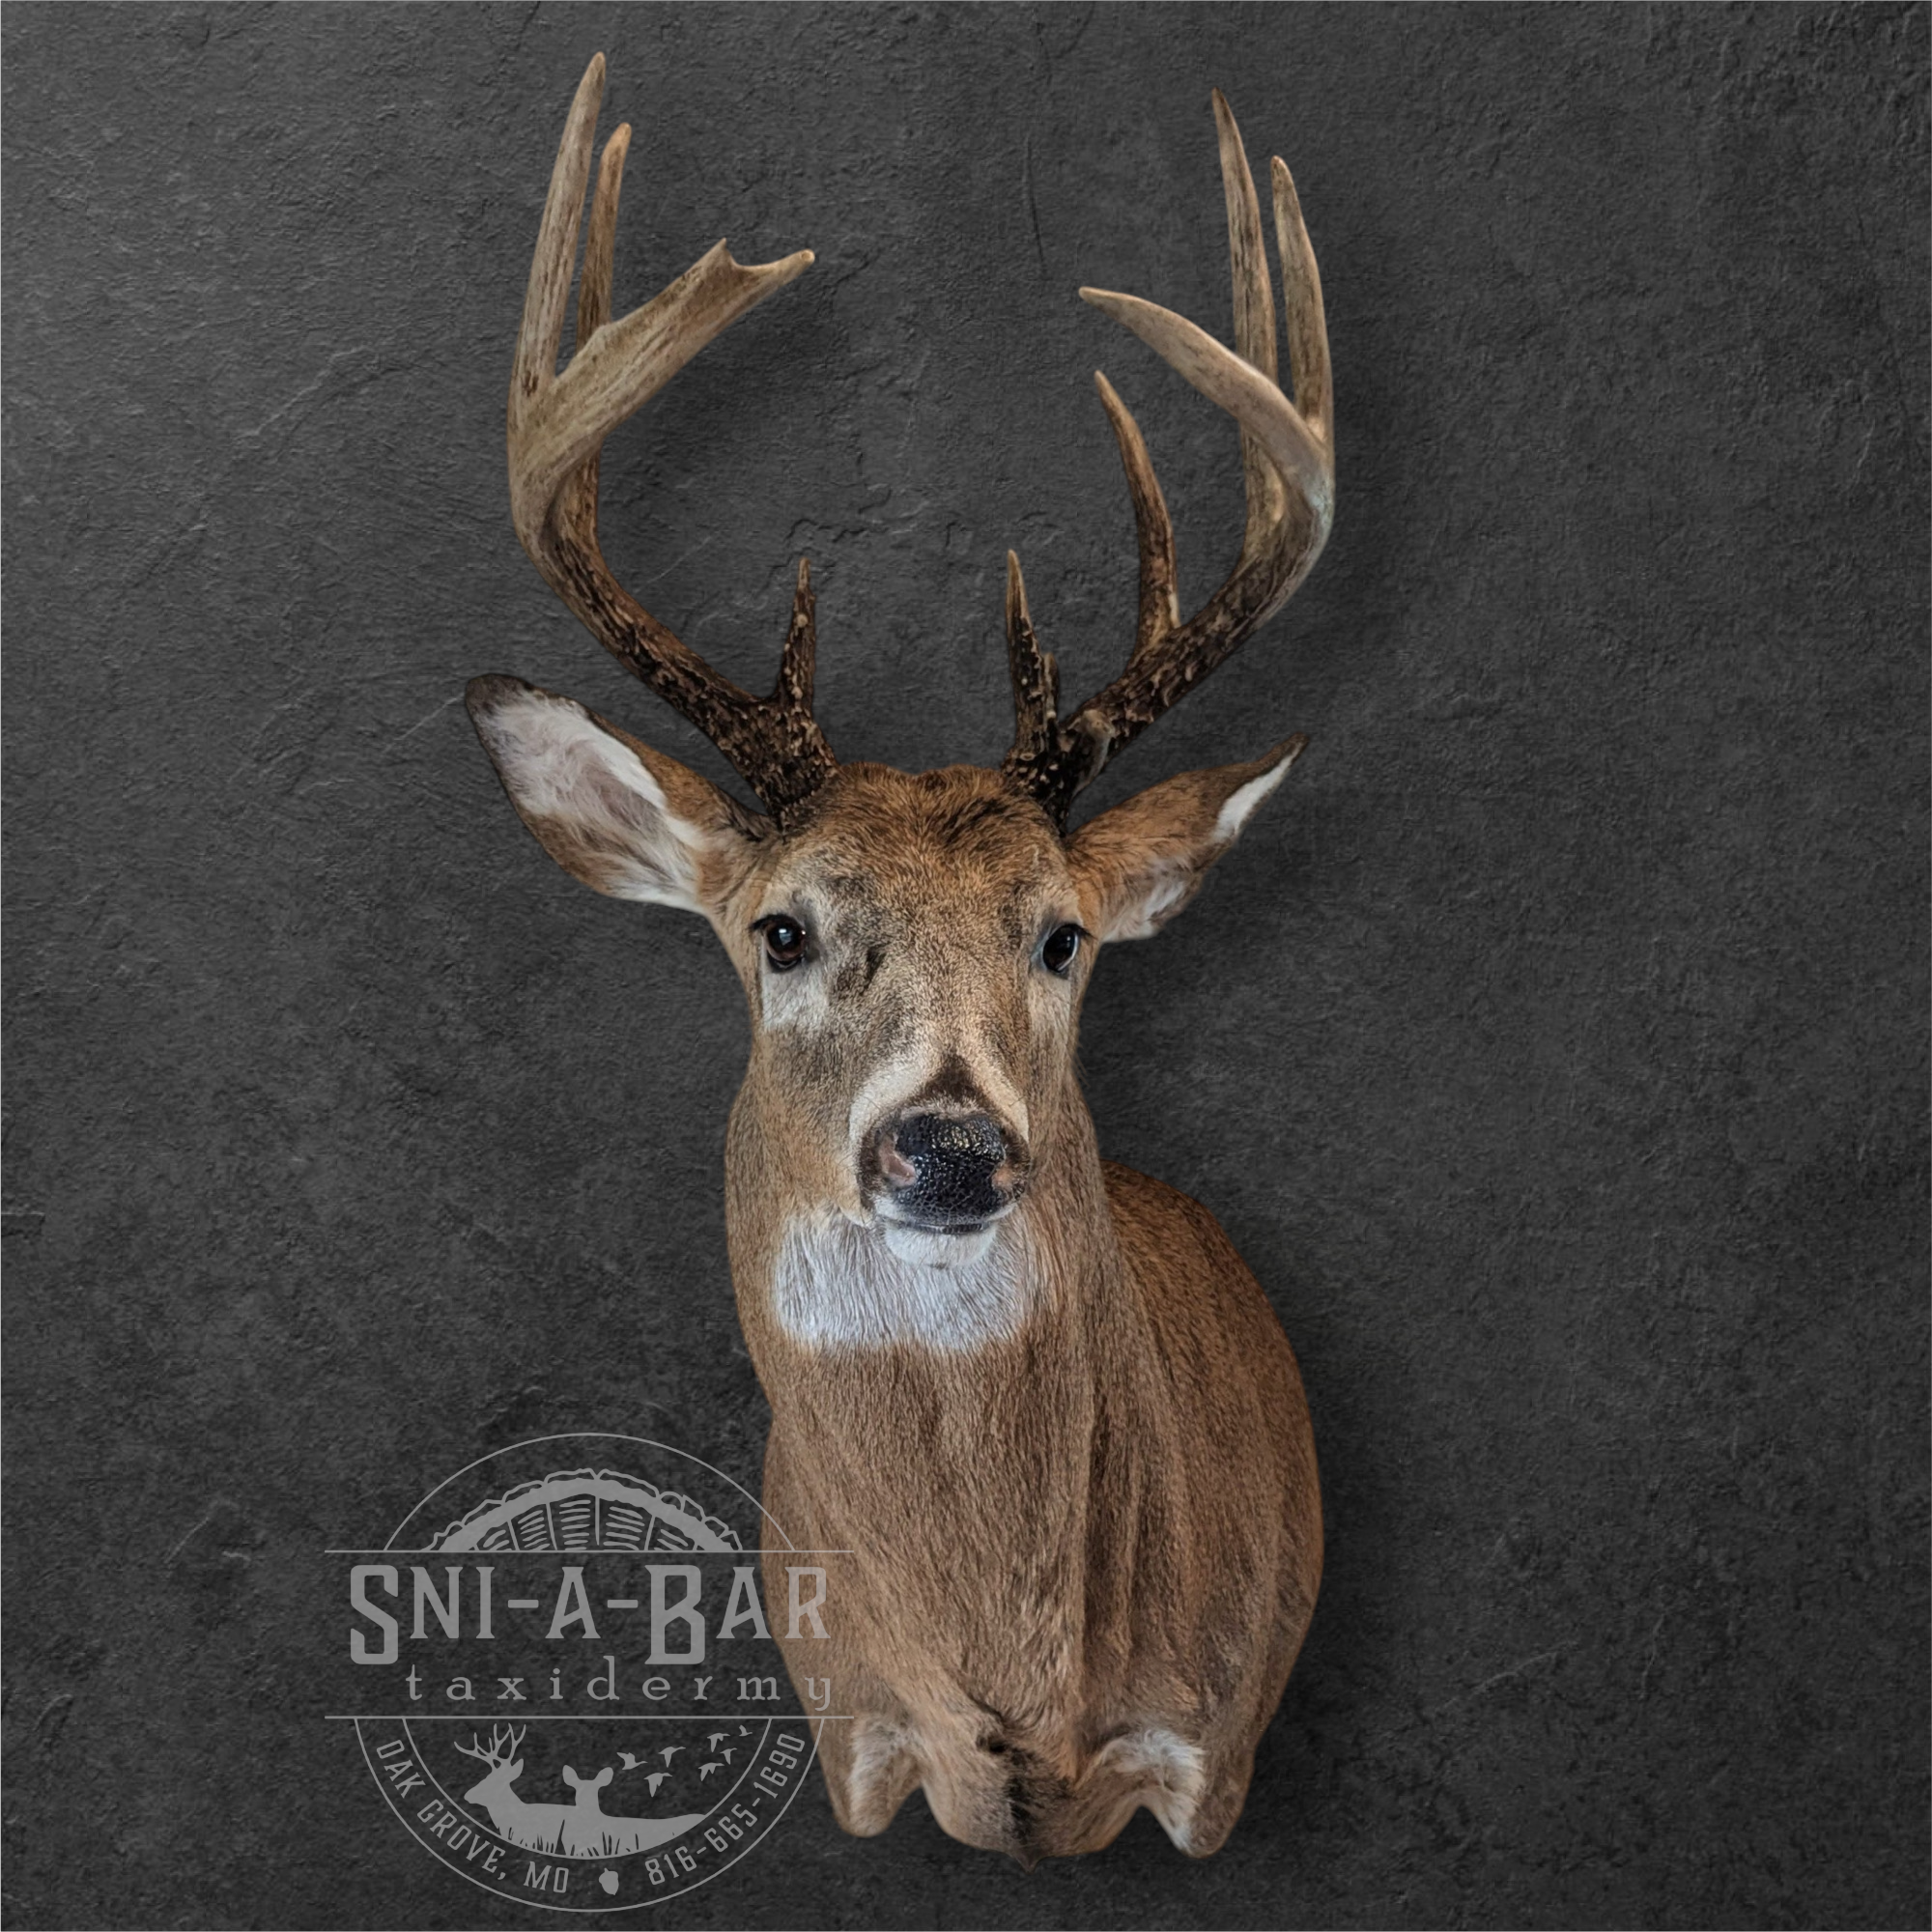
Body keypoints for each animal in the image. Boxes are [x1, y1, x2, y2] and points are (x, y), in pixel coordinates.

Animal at [466, 55, 1332, 1865]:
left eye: (1063, 934)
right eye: (781, 929)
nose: (948, 1146)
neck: (1023, 1695)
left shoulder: (1213, 1754)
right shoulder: (851, 1735)